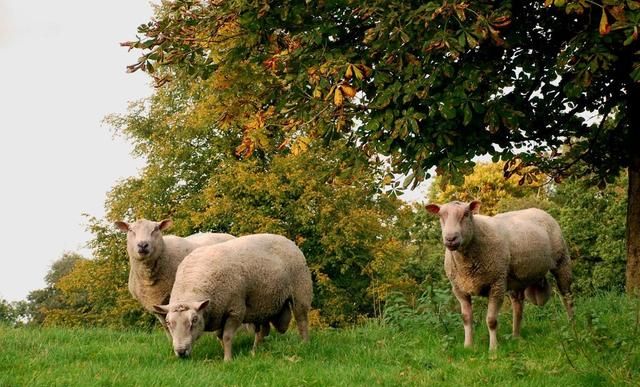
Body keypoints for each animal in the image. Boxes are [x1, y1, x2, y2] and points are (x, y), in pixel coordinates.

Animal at [152, 233, 312, 364]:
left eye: (194, 320)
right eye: (168, 322)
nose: (181, 352)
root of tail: (287, 240)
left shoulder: (235, 310)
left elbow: (227, 336)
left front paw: (227, 360)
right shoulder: (218, 312)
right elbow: (220, 336)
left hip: (301, 292)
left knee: (302, 321)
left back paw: (304, 344)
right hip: (262, 304)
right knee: (263, 329)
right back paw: (255, 351)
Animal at [428, 202, 572, 354]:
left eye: (466, 214)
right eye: (440, 215)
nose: (450, 238)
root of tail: (539, 211)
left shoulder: (496, 284)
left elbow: (491, 320)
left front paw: (493, 349)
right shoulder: (459, 289)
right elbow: (466, 318)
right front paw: (468, 346)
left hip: (562, 260)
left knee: (566, 295)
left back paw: (571, 323)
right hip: (515, 279)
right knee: (518, 306)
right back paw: (515, 336)